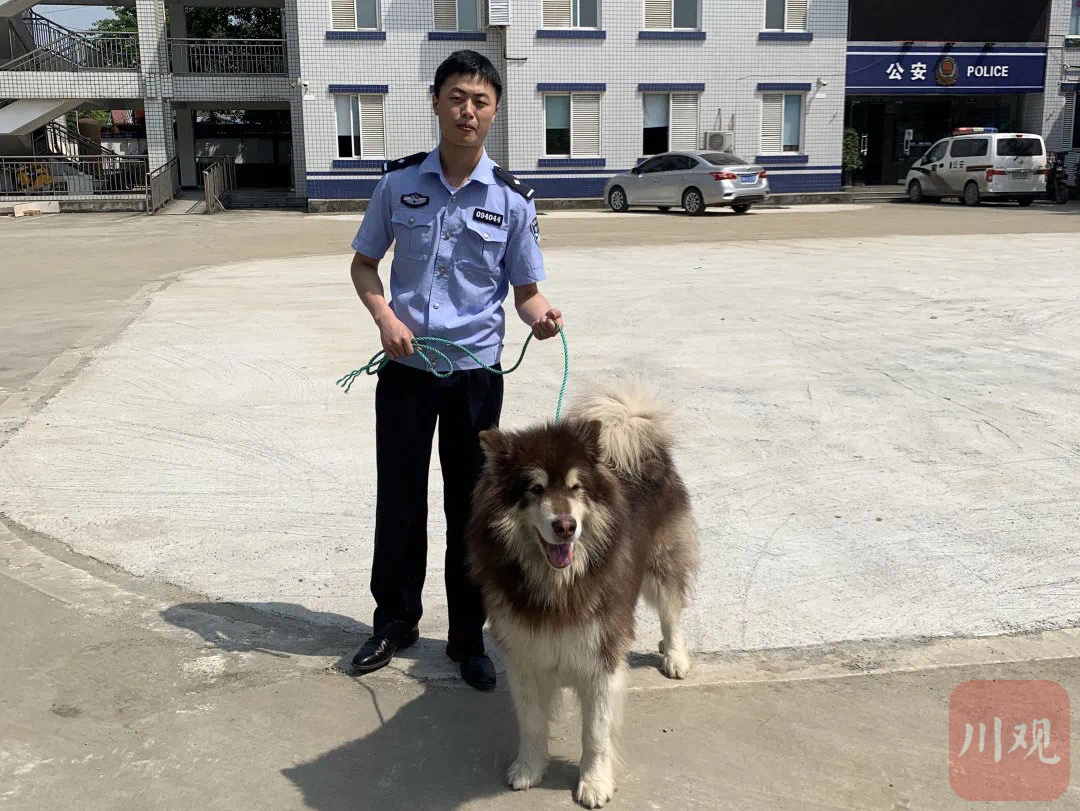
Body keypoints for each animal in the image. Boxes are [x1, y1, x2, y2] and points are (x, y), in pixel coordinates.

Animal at [466, 381, 699, 808]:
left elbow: (596, 732)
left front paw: (594, 782)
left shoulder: (601, 656)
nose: (566, 526)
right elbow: (531, 721)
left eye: (576, 488)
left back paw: (674, 655)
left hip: (661, 565)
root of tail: (635, 431)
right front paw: (529, 768)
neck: (558, 585)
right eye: (535, 489)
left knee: (671, 611)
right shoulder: (525, 653)